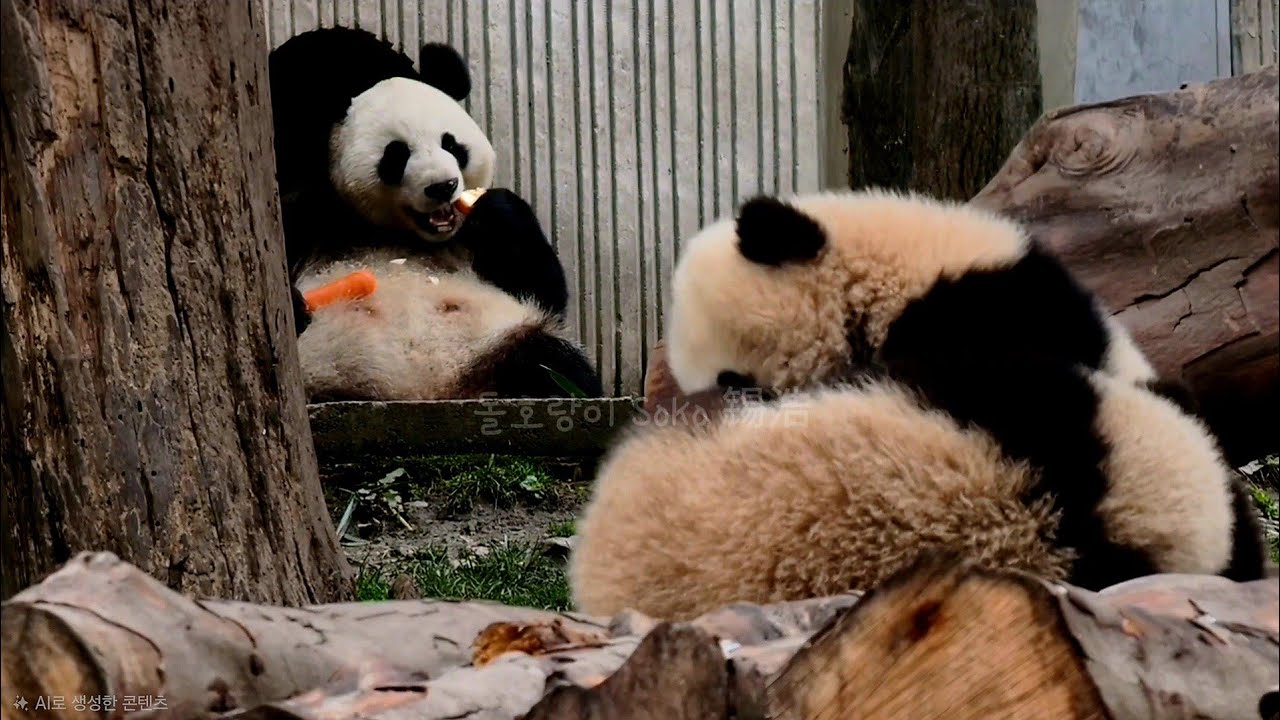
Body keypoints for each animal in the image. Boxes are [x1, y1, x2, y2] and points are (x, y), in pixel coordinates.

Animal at [268, 26, 601, 400]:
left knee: (556, 364)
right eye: (396, 155)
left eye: (451, 144)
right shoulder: (309, 213)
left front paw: (493, 210)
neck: (396, 232)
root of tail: (434, 390)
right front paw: (295, 305)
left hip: (500, 339)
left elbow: (543, 288)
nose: (443, 186)